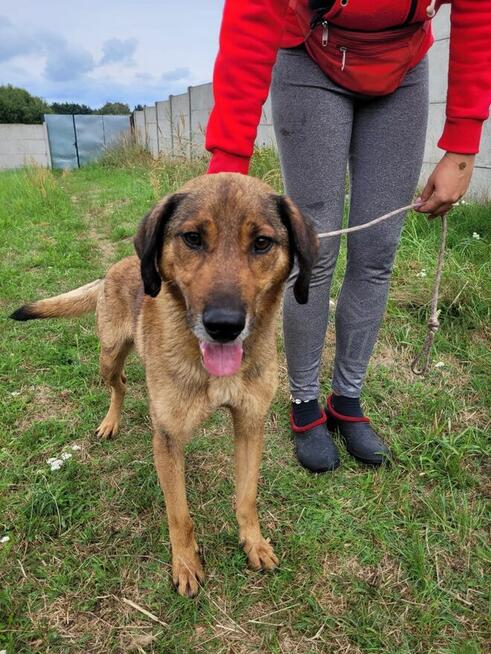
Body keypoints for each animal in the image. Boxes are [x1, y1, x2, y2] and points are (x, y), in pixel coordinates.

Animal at [12, 173, 320, 600]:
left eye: (262, 242)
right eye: (192, 238)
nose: (224, 326)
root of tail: (116, 268)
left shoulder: (249, 424)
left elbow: (247, 497)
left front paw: (254, 543)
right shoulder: (168, 438)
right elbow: (179, 515)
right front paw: (186, 564)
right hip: (109, 357)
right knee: (121, 384)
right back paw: (111, 421)